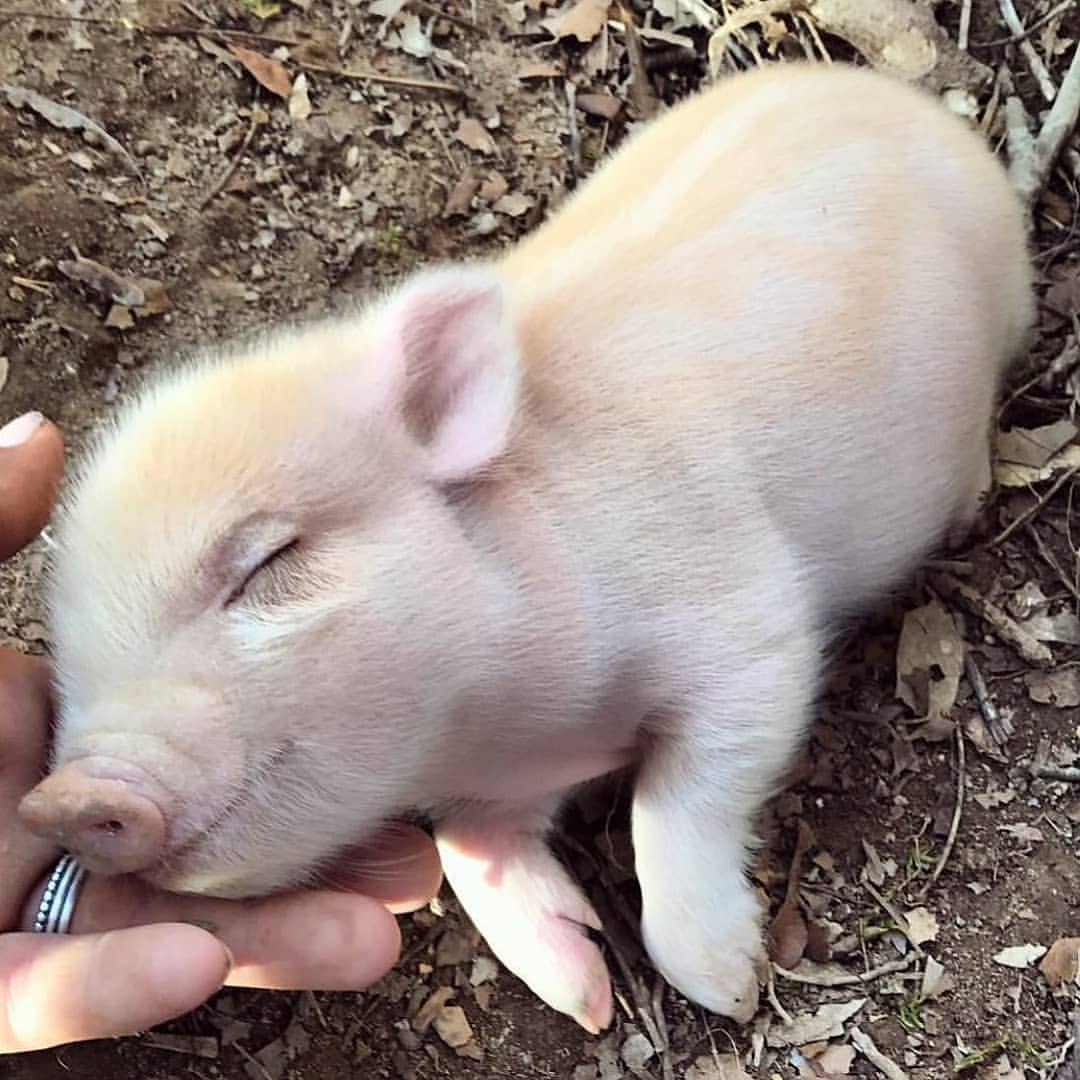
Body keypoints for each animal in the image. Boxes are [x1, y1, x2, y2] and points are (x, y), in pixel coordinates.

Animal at [20, 61, 1032, 1033]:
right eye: (64, 650)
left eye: (271, 561)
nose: (60, 800)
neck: (512, 727)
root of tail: (914, 106)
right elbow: (473, 852)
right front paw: (581, 997)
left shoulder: (749, 621)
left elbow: (686, 793)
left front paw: (728, 986)